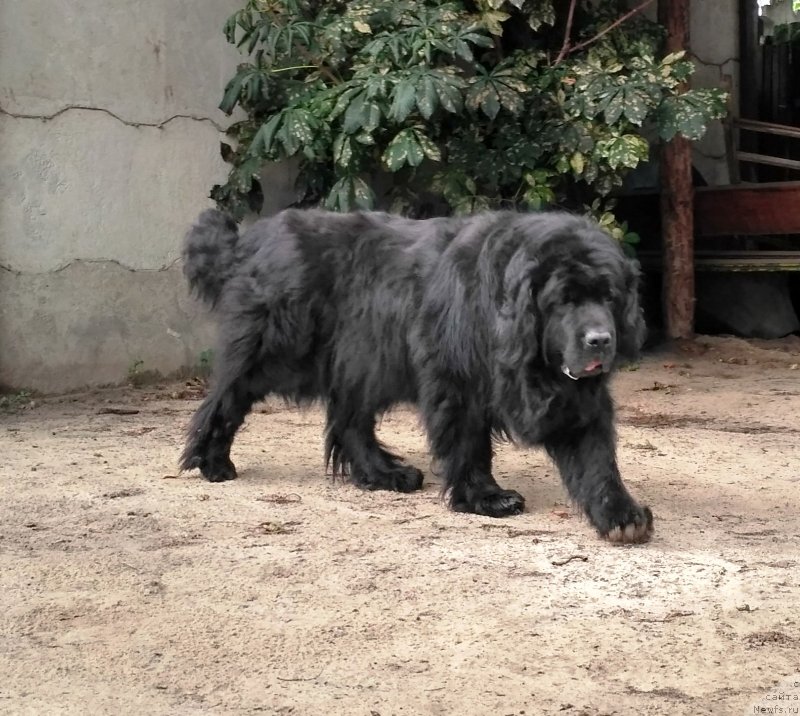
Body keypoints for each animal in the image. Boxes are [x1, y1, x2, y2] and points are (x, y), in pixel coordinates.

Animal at [180, 207, 648, 544]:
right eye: (563, 300)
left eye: (609, 297)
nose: (600, 340)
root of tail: (250, 241)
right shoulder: (456, 379)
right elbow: (469, 442)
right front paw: (486, 497)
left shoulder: (576, 397)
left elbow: (595, 457)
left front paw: (621, 514)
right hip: (278, 349)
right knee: (227, 398)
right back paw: (212, 462)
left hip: (361, 361)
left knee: (350, 421)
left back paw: (385, 474)